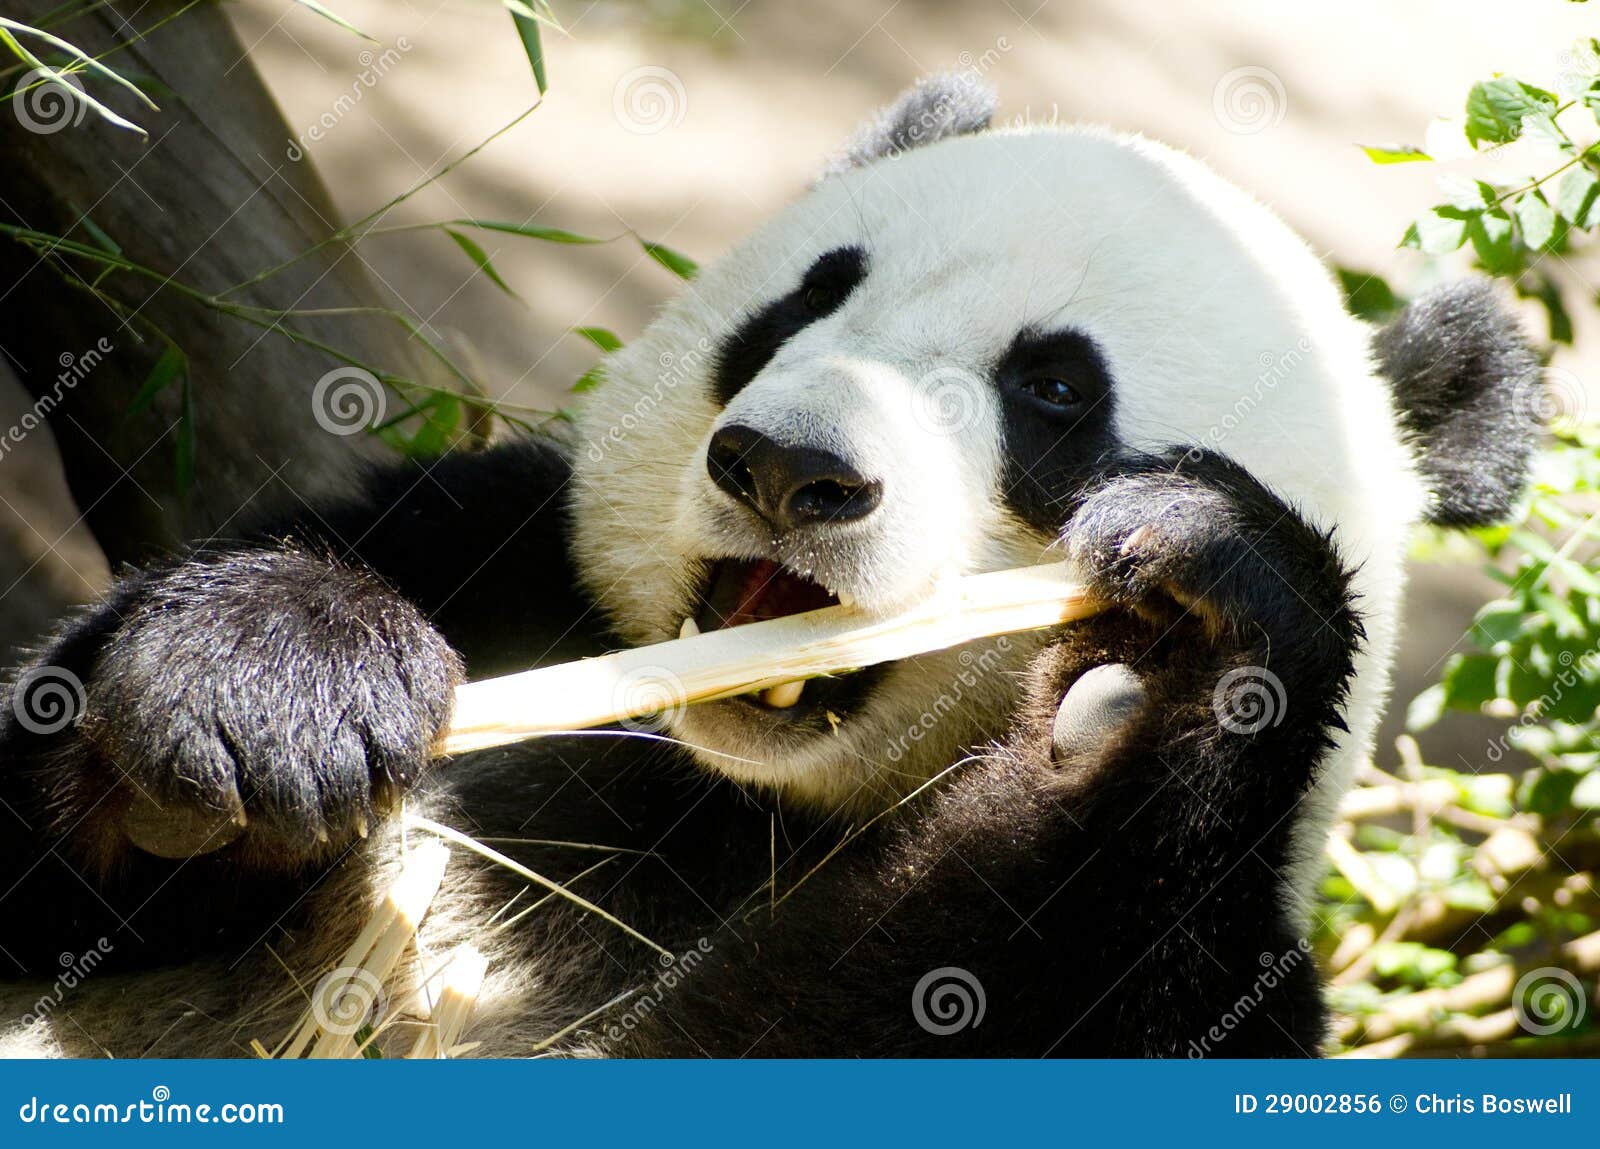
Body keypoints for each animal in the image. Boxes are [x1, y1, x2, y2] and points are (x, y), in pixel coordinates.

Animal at [0, 75, 1539, 1058]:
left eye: (1054, 391)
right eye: (810, 297)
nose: (788, 469)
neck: (729, 797)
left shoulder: (1218, 967)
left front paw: (1157, 684)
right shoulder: (500, 562)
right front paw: (262, 696)